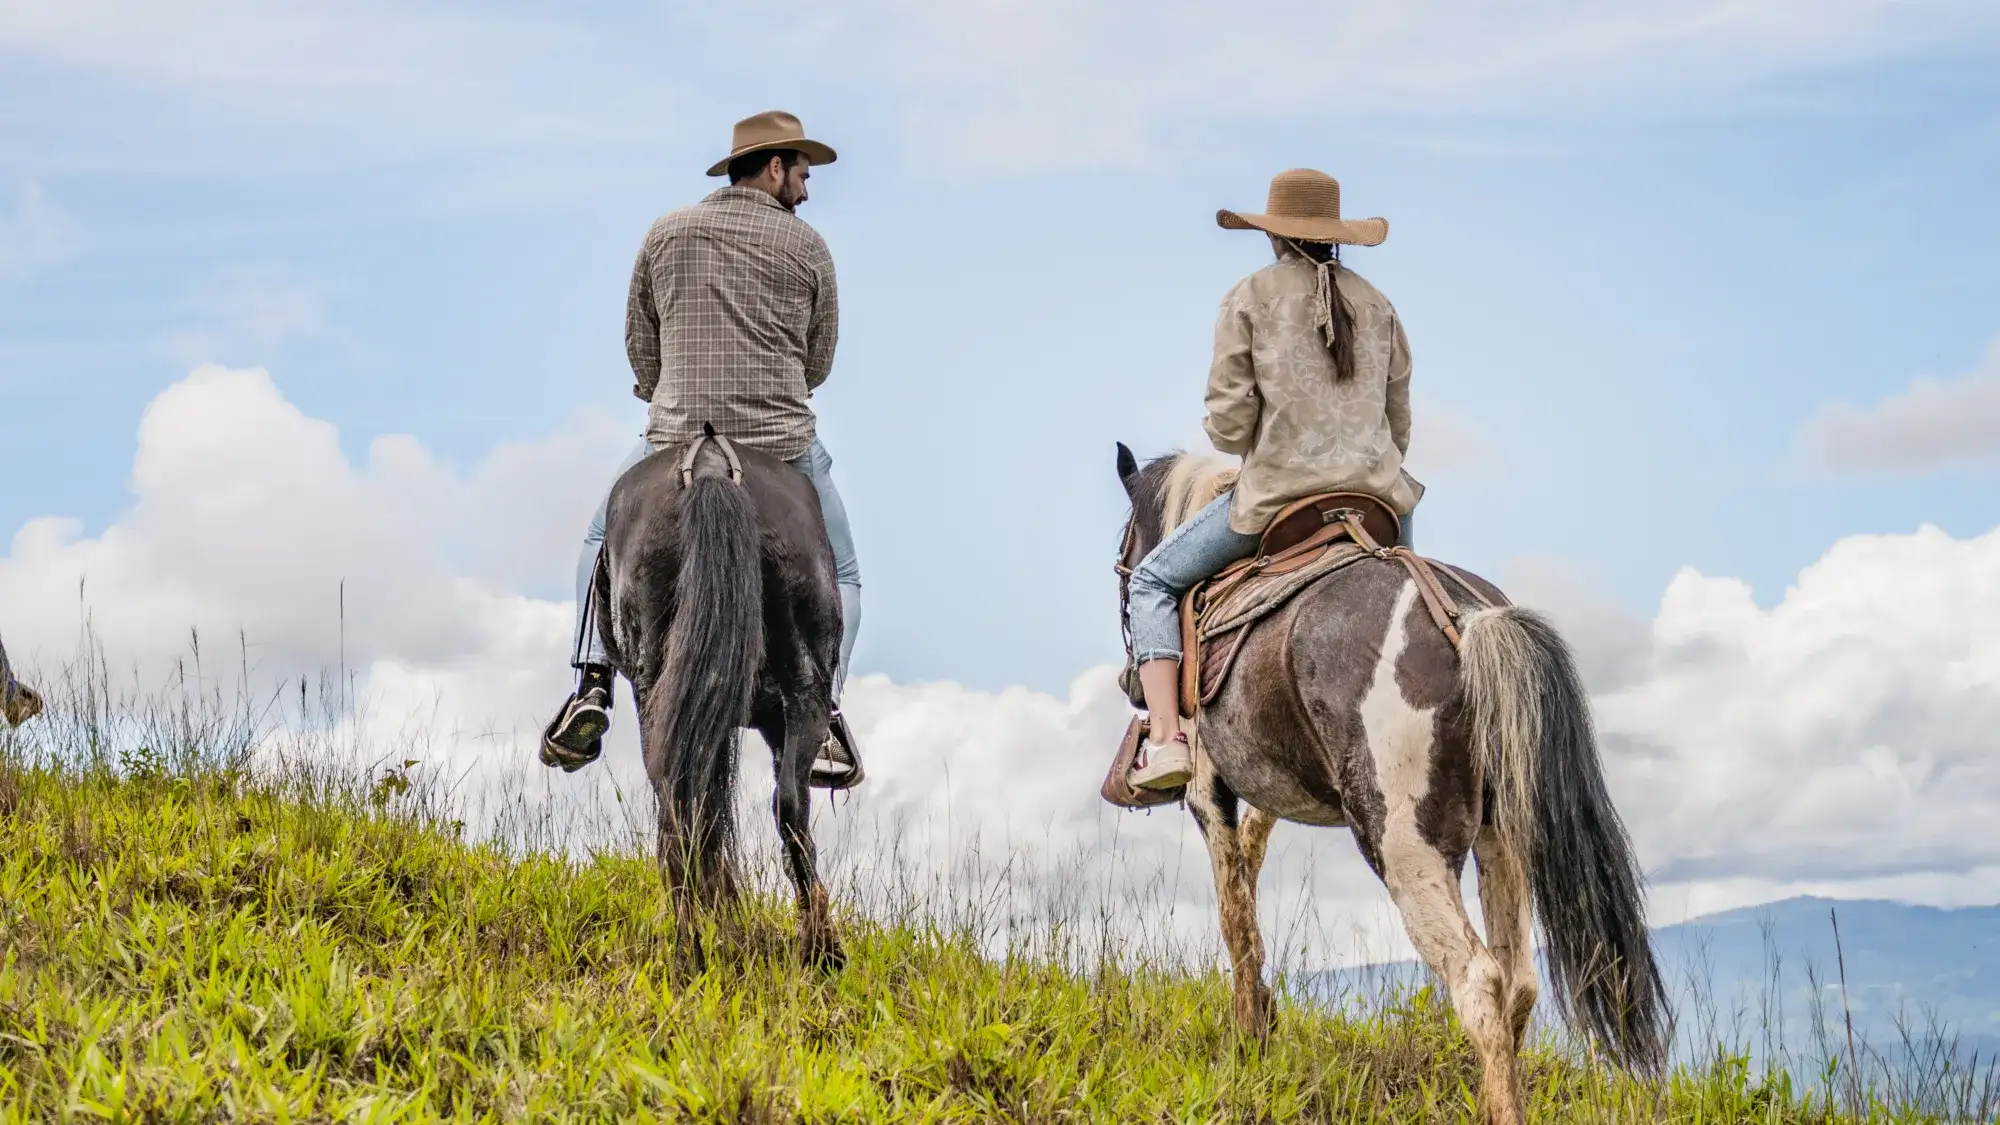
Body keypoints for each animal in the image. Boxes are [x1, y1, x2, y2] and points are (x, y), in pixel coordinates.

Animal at [592, 424, 844, 968]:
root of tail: (710, 463)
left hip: (658, 683)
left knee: (677, 800)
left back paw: (690, 947)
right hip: (803, 689)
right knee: (788, 804)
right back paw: (822, 949)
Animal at [1120, 442, 1664, 1112]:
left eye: (1126, 551)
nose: (1129, 681)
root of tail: (1468, 620)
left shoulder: (1206, 789)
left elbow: (1235, 919)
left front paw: (1248, 1043)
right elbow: (1250, 865)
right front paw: (1263, 1019)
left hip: (1405, 847)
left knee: (1478, 981)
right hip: (1500, 841)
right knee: (1519, 981)